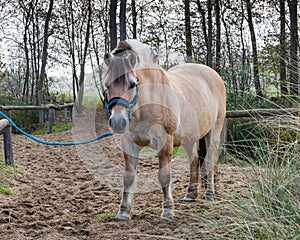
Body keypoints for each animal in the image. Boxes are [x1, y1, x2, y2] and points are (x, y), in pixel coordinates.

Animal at [103, 39, 225, 221]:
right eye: (107, 85)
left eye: (132, 84)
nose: (118, 122)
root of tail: (213, 75)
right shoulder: (129, 144)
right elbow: (128, 178)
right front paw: (123, 211)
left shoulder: (165, 142)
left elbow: (164, 176)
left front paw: (168, 209)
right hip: (190, 138)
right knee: (195, 160)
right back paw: (190, 195)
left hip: (213, 132)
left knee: (209, 162)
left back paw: (210, 196)